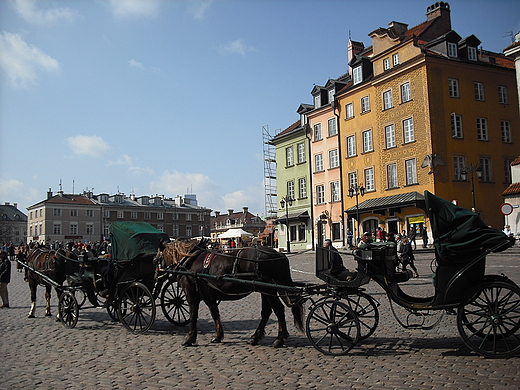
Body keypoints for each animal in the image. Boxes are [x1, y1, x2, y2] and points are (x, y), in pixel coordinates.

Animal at [160, 241, 302, 348]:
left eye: (159, 256)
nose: (159, 271)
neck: (190, 260)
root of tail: (278, 254)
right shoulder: (208, 296)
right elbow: (214, 313)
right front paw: (217, 336)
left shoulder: (193, 295)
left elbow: (193, 315)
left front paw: (189, 338)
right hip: (265, 290)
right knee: (266, 312)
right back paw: (255, 337)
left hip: (268, 289)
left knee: (278, 310)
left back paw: (279, 339)